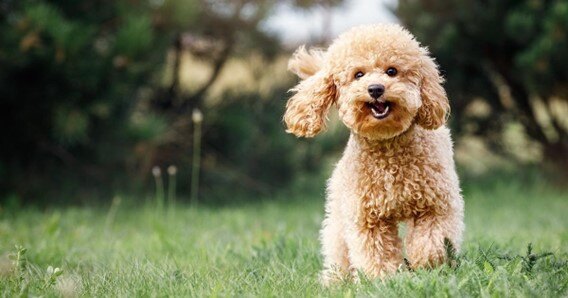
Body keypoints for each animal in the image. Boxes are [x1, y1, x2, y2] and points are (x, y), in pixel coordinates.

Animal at [282, 23, 464, 284]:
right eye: (358, 74)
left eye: (392, 71)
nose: (376, 88)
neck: (387, 147)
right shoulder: (367, 217)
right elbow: (375, 252)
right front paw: (383, 280)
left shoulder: (436, 205)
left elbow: (433, 240)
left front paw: (428, 265)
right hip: (338, 214)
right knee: (337, 249)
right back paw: (334, 281)